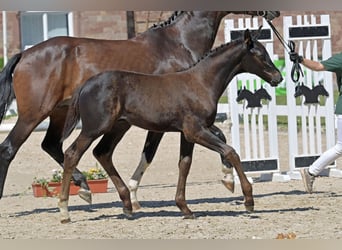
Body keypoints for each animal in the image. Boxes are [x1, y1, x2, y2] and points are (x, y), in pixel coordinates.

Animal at [58, 28, 282, 223]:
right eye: (260, 55)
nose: (278, 77)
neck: (201, 82)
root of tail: (85, 85)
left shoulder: (187, 133)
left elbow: (185, 164)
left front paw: (185, 208)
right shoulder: (195, 131)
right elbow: (230, 152)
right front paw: (248, 200)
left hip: (118, 127)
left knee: (102, 153)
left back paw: (127, 205)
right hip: (94, 128)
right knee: (72, 154)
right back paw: (65, 210)